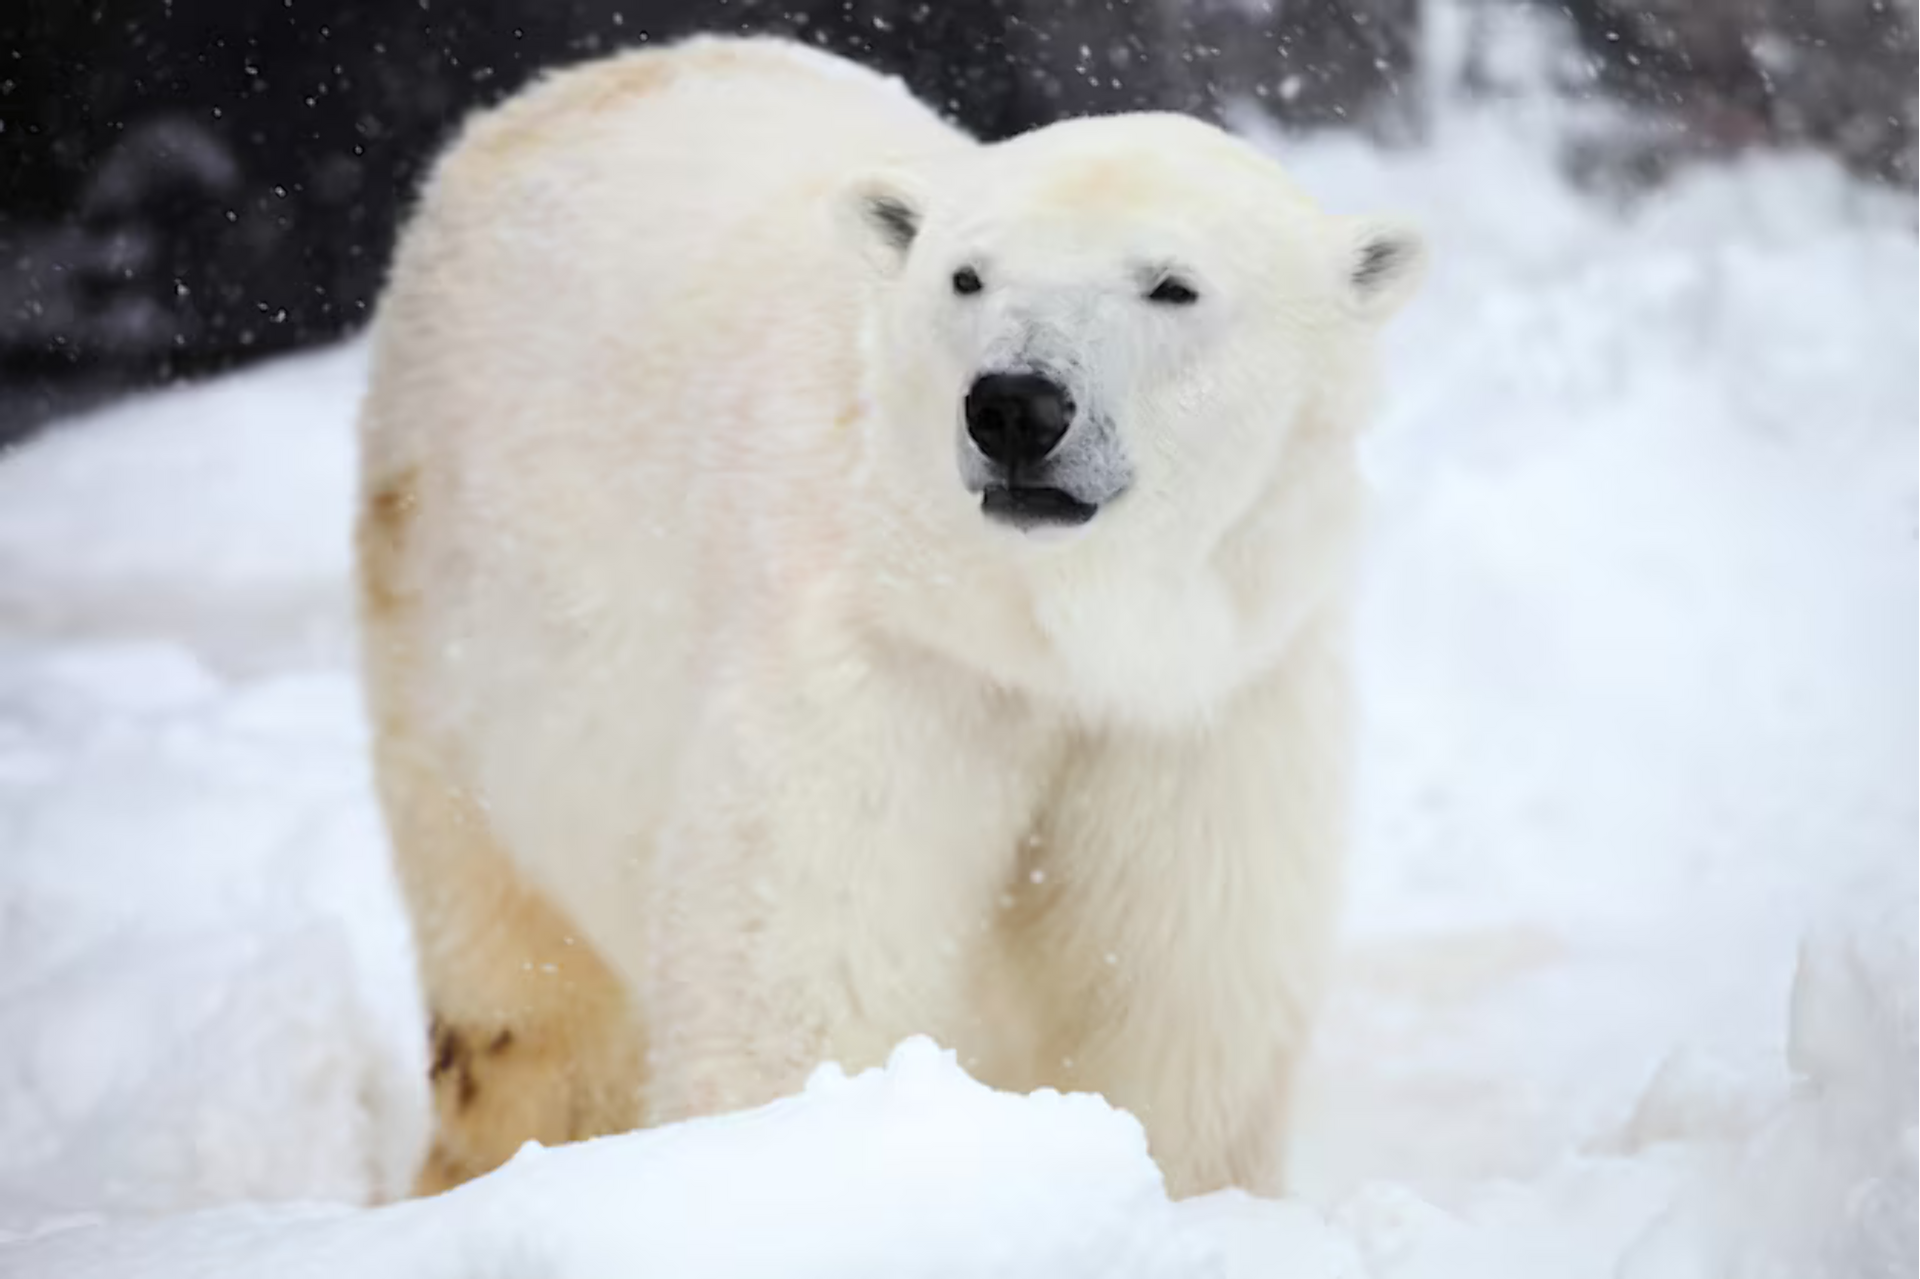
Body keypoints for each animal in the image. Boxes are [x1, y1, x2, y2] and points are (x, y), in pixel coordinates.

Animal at [357, 34, 1428, 1198]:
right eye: (967, 275)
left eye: (1173, 285)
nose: (1016, 405)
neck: (1046, 635)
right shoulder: (880, 670)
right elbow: (806, 973)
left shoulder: (1202, 710)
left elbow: (1180, 996)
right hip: (450, 589)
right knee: (518, 986)